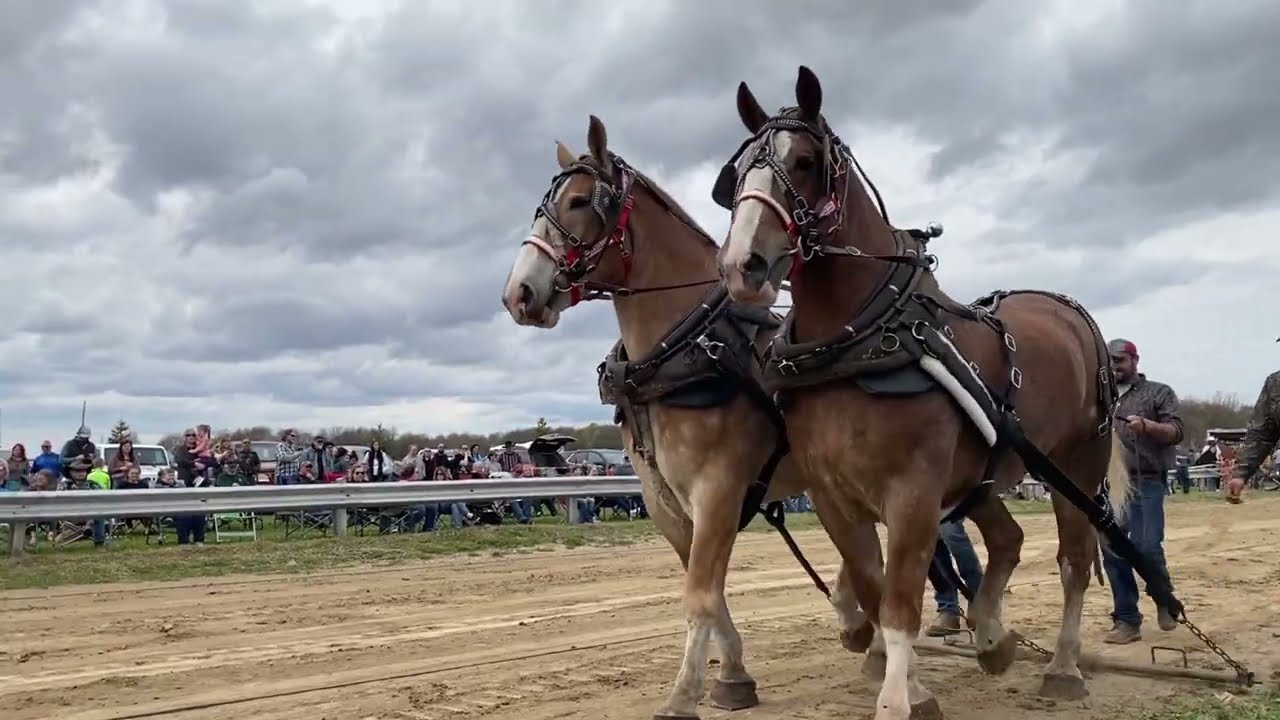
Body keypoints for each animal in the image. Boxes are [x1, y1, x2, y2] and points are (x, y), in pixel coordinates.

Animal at [499, 115, 877, 720]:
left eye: (580, 200)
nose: (519, 292)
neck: (687, 348)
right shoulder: (664, 499)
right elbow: (708, 590)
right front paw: (734, 676)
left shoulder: (719, 489)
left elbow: (700, 593)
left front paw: (683, 695)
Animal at [713, 66, 1132, 719]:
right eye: (736, 174)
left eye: (805, 161)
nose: (743, 265)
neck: (858, 340)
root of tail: (1066, 309)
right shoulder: (833, 496)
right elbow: (872, 589)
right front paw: (908, 681)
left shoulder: (913, 489)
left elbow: (901, 602)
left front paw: (896, 701)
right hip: (983, 472)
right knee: (1008, 539)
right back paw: (993, 639)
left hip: (1075, 465)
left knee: (1074, 560)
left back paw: (1062, 667)